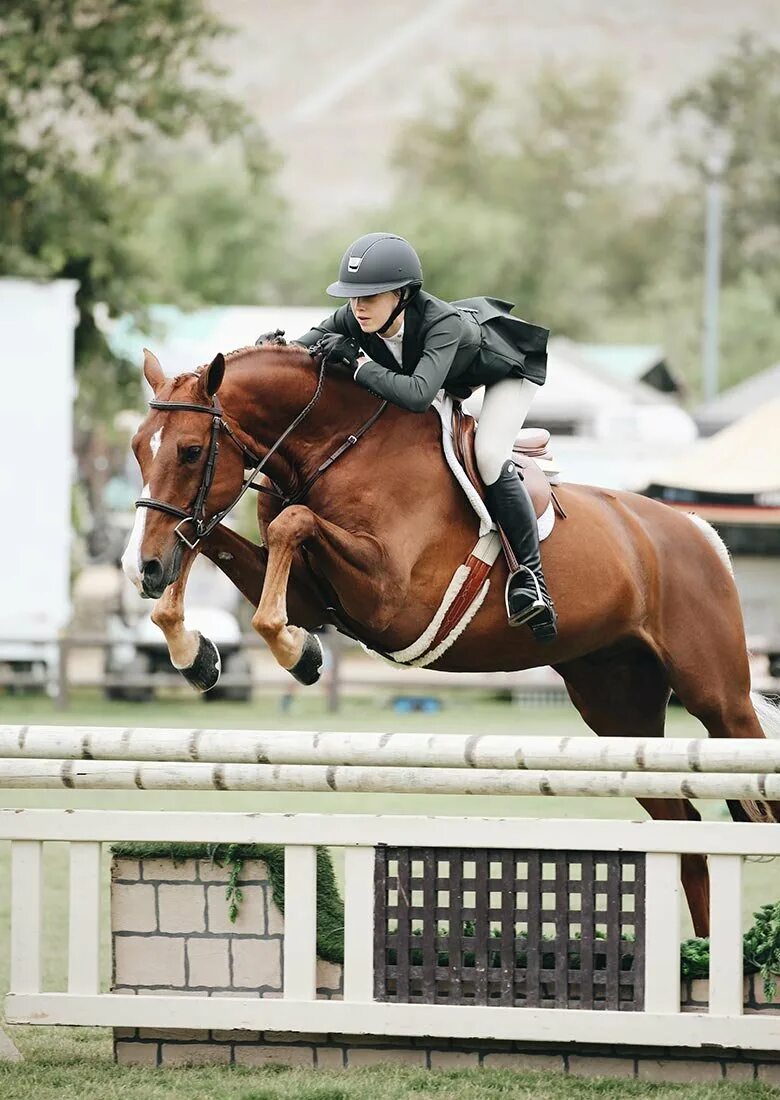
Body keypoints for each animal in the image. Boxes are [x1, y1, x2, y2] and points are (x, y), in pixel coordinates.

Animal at [121, 343, 778, 937]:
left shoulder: (390, 598)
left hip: (718, 700)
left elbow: (290, 525)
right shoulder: (312, 596)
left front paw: (295, 652)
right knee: (684, 828)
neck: (337, 449)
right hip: (618, 709)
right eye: (137, 448)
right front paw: (194, 652)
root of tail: (698, 530)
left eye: (191, 450)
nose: (142, 568)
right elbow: (211, 536)